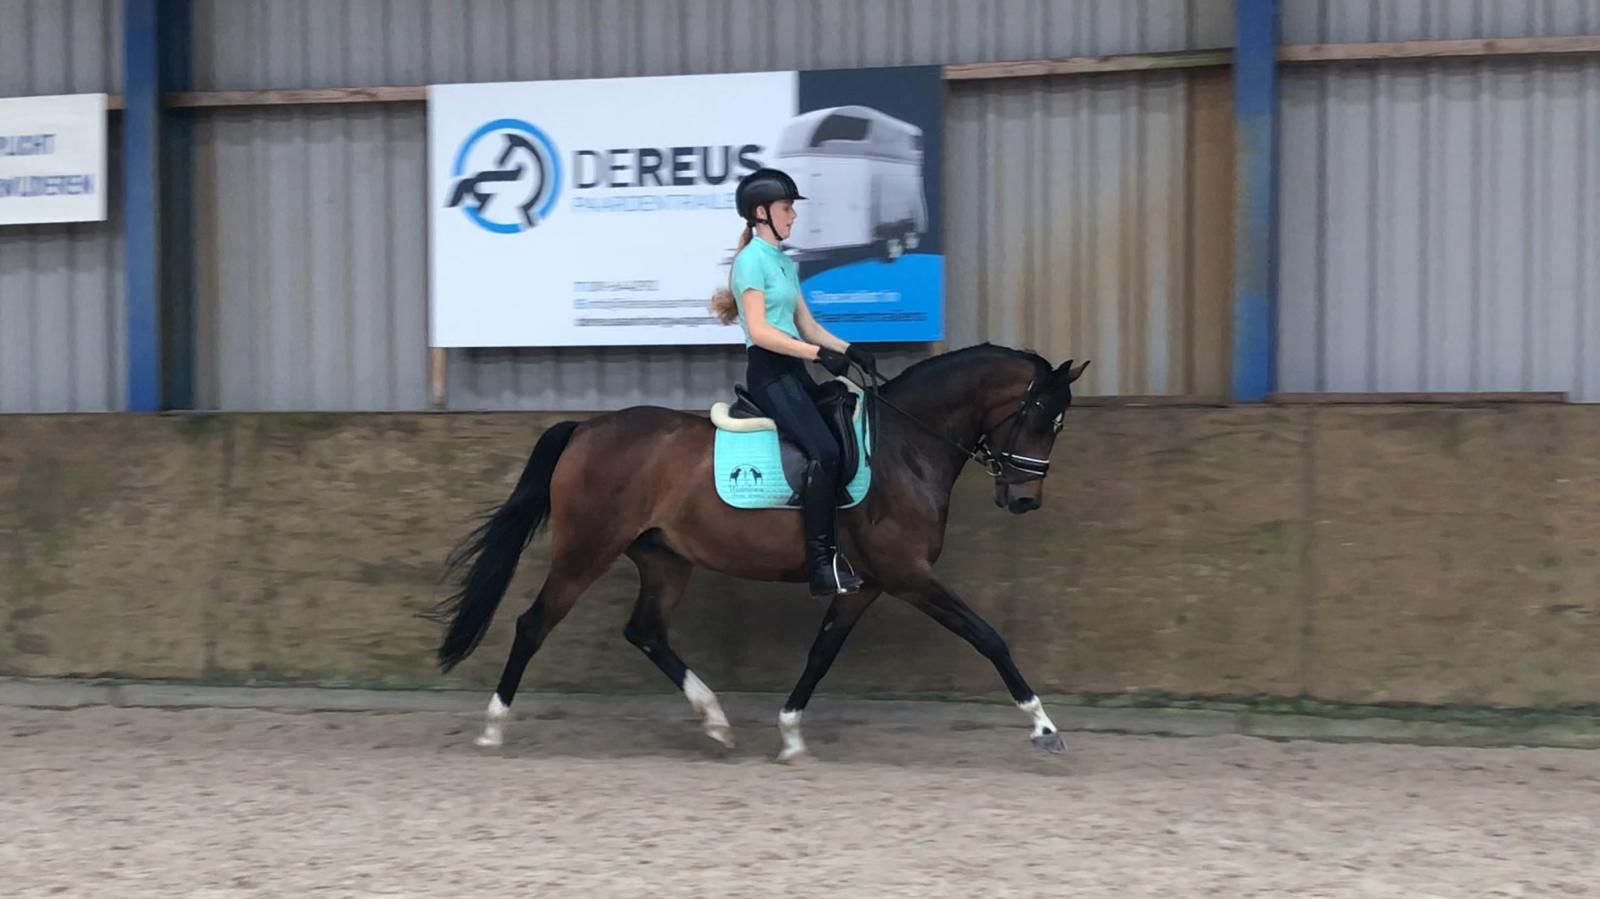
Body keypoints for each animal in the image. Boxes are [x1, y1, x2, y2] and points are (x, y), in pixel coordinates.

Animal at [423, 342, 1091, 761]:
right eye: (1042, 417)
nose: (1024, 499)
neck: (906, 445)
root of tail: (585, 428)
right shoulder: (908, 575)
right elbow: (987, 637)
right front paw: (1045, 727)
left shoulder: (867, 584)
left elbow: (822, 653)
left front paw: (791, 735)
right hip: (587, 548)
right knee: (533, 623)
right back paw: (493, 727)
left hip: (664, 558)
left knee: (645, 631)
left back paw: (715, 720)